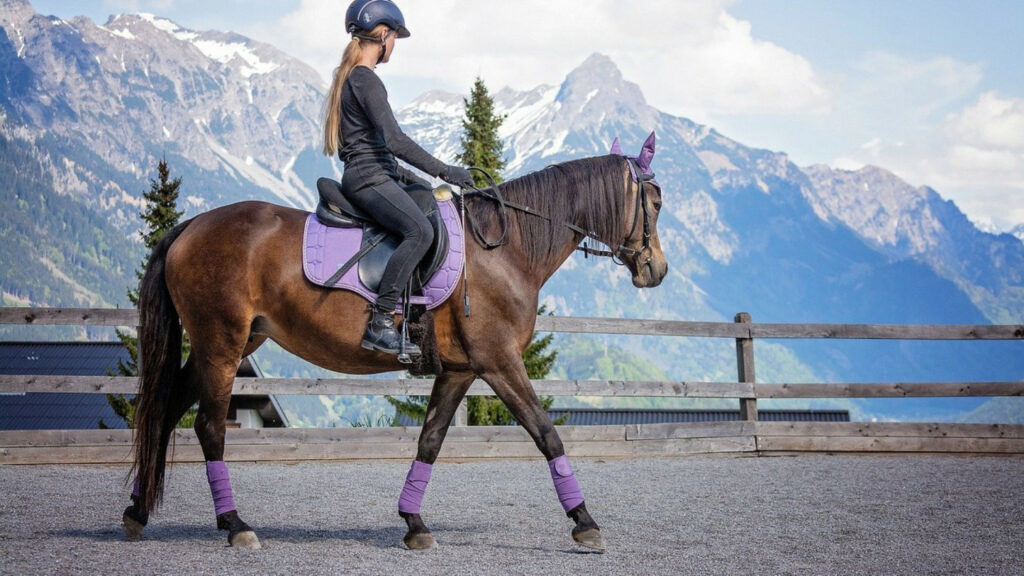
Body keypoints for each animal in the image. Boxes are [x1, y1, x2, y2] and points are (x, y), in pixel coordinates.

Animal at [123, 135, 667, 553]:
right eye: (656, 202)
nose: (656, 270)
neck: (504, 249)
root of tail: (192, 226)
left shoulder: (460, 369)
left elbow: (430, 440)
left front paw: (414, 524)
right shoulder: (500, 362)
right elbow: (546, 433)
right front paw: (585, 522)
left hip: (226, 344)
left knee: (165, 411)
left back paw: (138, 512)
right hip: (222, 344)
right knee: (209, 427)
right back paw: (235, 526)